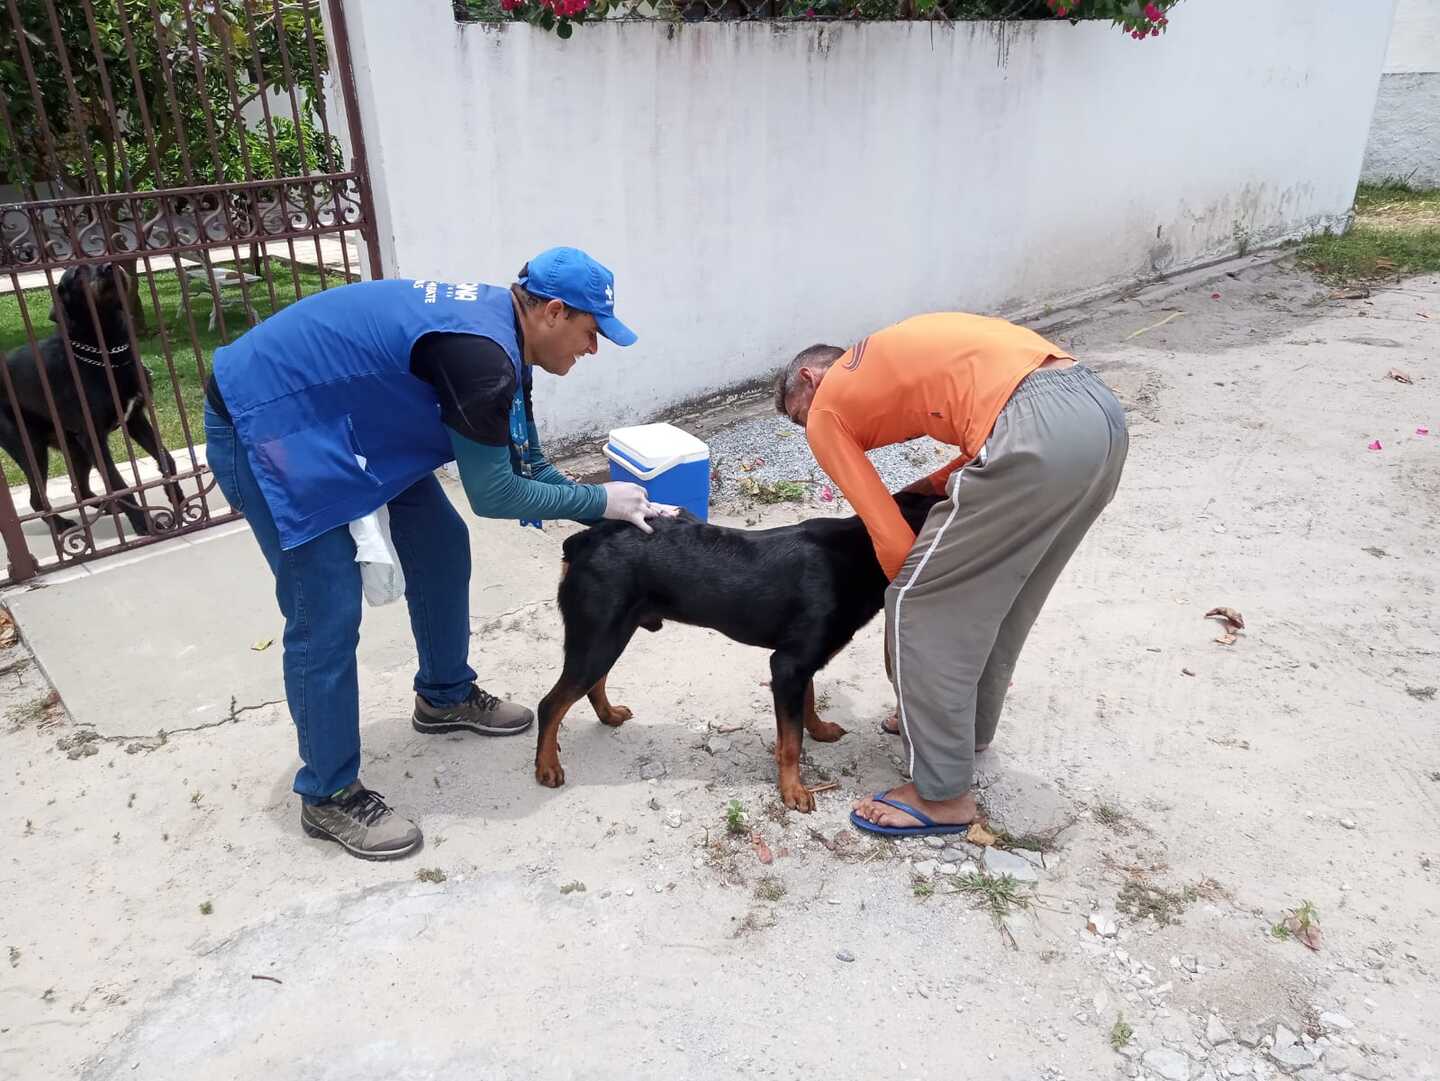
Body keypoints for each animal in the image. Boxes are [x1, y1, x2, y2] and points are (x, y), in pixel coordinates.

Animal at [0, 259, 182, 538]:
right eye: (77, 273)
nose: (109, 266)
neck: (105, 350)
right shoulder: (94, 437)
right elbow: (119, 484)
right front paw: (145, 525)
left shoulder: (135, 419)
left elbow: (167, 459)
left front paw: (179, 500)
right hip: (31, 447)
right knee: (37, 499)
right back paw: (62, 525)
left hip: (75, 447)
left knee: (81, 489)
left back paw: (108, 507)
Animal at [532, 489, 944, 811]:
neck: (861, 551)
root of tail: (582, 542)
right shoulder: (789, 665)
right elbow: (790, 742)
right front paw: (793, 790)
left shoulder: (798, 664)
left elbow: (807, 706)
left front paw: (819, 729)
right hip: (599, 634)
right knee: (552, 704)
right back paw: (547, 767)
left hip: (609, 633)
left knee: (592, 683)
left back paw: (608, 715)